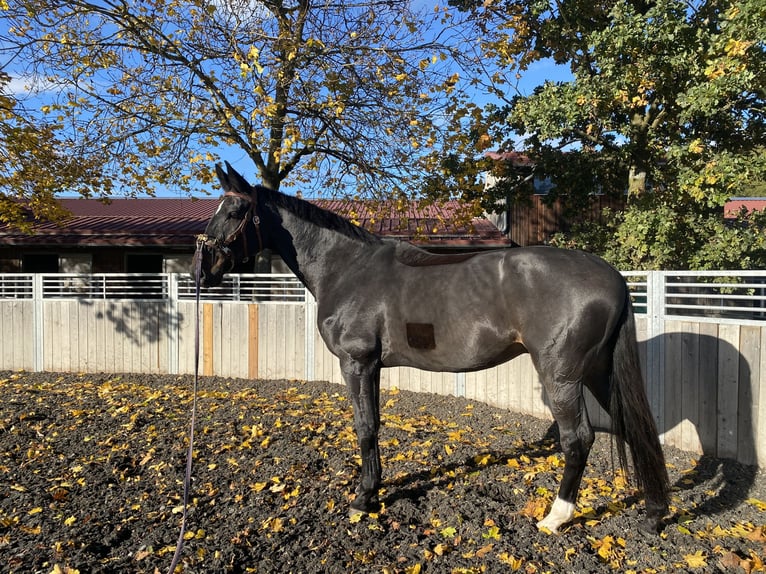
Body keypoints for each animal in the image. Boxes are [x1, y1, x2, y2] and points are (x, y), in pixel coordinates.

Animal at [195, 163, 668, 536]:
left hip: (561, 375)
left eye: (235, 211)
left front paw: (363, 499)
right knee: (633, 427)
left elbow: (364, 427)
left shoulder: (356, 363)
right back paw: (653, 512)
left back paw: (556, 517)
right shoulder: (373, 366)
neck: (347, 268)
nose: (204, 270)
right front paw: (373, 490)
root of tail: (613, 277)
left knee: (578, 439)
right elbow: (375, 424)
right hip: (599, 371)